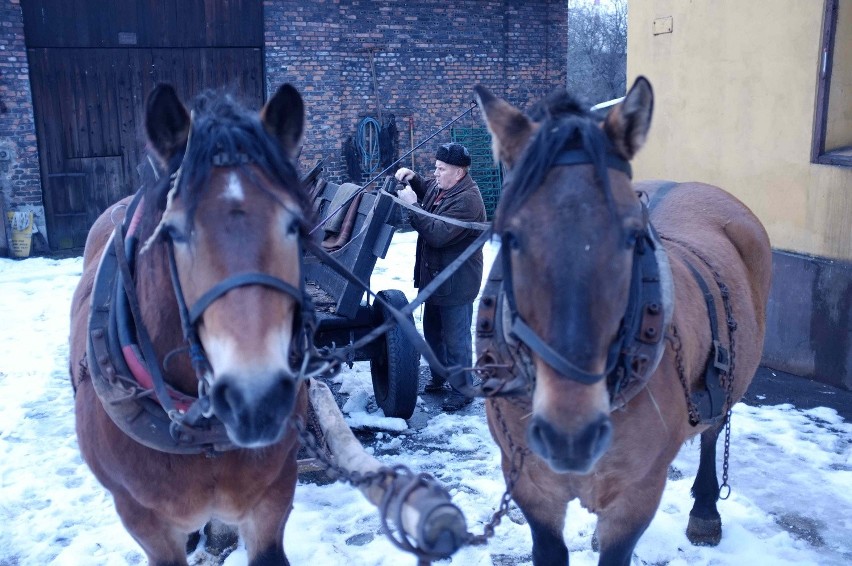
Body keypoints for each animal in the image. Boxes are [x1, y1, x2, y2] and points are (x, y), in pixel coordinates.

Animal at [476, 76, 776, 566]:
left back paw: (706, 509)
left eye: (634, 236)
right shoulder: (530, 484)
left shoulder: (637, 496)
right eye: (510, 235)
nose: (570, 436)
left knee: (713, 433)